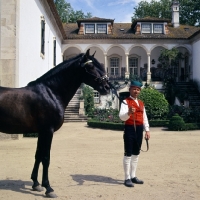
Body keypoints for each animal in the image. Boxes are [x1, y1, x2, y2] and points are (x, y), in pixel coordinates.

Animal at [0, 49, 110, 198]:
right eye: (91, 66)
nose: (107, 87)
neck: (51, 92)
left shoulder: (42, 132)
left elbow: (38, 155)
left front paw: (36, 184)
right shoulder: (48, 130)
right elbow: (46, 157)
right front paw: (48, 188)